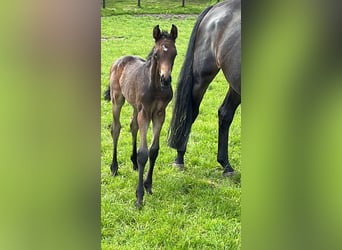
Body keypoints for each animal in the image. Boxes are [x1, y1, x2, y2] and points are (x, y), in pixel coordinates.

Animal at [103, 24, 179, 208]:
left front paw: (148, 185)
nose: (166, 80)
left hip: (135, 106)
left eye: (174, 54)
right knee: (116, 129)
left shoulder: (159, 113)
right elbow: (144, 153)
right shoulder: (145, 113)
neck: (155, 87)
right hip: (117, 99)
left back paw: (133, 162)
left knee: (133, 126)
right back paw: (114, 167)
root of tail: (119, 60)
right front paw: (139, 196)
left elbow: (154, 150)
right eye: (157, 54)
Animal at [168, 0, 240, 176]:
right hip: (202, 76)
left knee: (225, 113)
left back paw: (226, 165)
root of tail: (215, 7)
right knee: (190, 113)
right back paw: (179, 159)